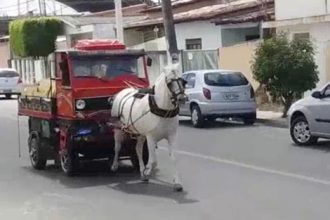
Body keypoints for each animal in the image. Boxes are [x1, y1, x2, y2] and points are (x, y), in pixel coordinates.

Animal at [110, 63, 186, 191]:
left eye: (183, 81)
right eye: (170, 82)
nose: (182, 99)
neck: (161, 109)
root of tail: (123, 91)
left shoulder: (172, 136)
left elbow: (174, 157)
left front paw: (177, 183)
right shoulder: (151, 137)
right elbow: (153, 160)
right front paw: (147, 171)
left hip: (140, 133)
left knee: (138, 149)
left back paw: (141, 170)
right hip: (118, 129)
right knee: (117, 147)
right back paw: (115, 165)